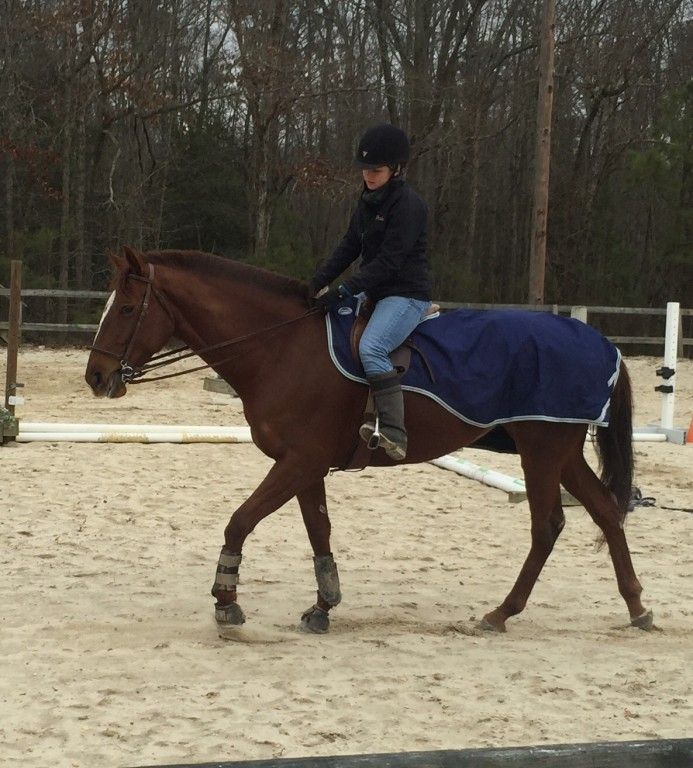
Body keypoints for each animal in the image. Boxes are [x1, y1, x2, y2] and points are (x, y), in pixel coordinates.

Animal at [84, 248, 652, 636]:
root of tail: (599, 342)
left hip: (542, 449)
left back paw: (501, 612)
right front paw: (323, 605)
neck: (282, 347)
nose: (96, 376)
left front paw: (226, 600)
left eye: (128, 308)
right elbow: (319, 531)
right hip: (561, 451)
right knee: (605, 510)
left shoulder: (298, 461)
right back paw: (637, 606)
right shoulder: (305, 465)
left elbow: (240, 520)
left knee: (548, 525)